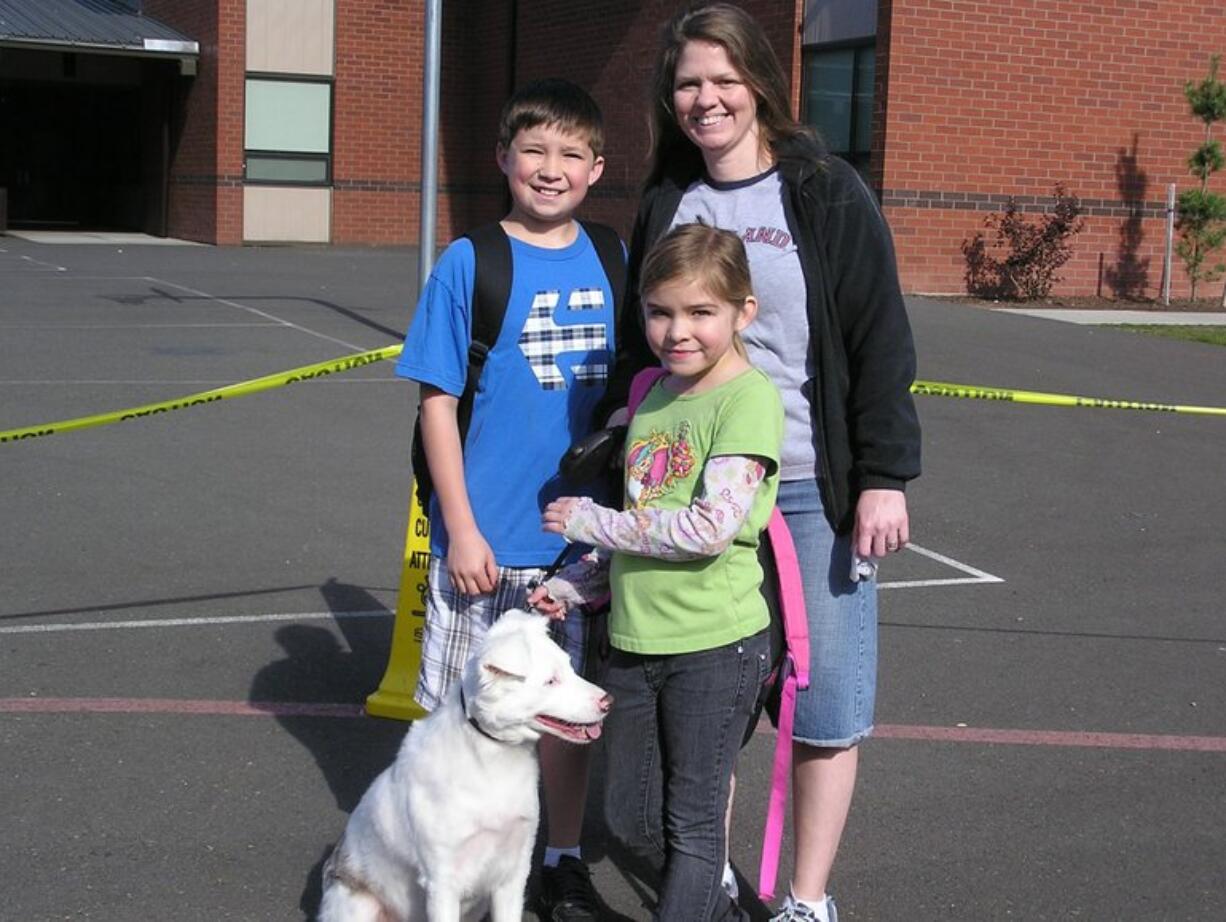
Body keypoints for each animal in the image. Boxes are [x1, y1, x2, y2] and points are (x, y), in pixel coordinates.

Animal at [318, 608, 610, 922]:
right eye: (551, 681)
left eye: (570, 667)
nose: (608, 702)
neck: (491, 761)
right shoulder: (442, 880)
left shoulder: (514, 870)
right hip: (359, 906)